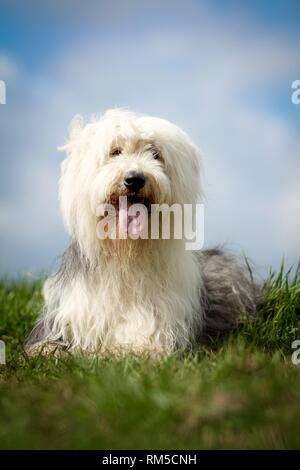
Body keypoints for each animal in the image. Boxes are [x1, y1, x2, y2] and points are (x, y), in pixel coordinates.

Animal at [25, 108, 260, 354]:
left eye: (155, 154)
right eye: (115, 152)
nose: (134, 179)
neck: (127, 254)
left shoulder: (159, 323)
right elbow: (45, 346)